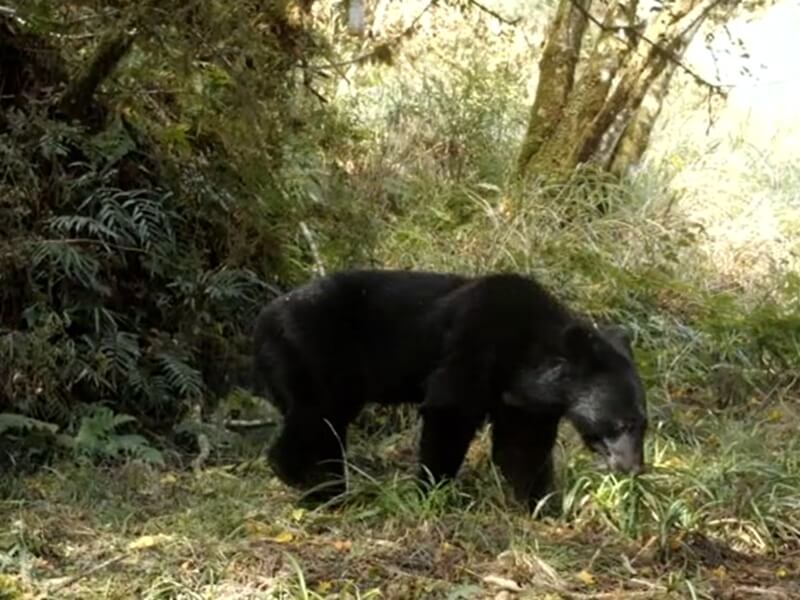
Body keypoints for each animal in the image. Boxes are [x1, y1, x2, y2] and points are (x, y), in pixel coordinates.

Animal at [252, 268, 647, 508]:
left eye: (643, 425)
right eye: (624, 423)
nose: (634, 469)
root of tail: (261, 321)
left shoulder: (525, 402)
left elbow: (523, 447)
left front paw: (541, 506)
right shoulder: (475, 344)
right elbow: (449, 410)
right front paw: (432, 491)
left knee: (329, 428)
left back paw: (332, 487)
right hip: (313, 354)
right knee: (315, 417)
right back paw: (305, 481)